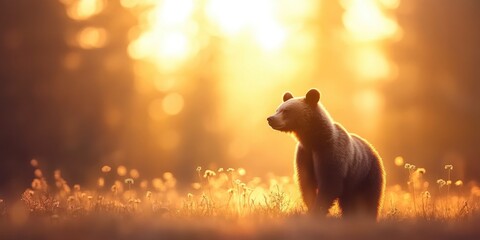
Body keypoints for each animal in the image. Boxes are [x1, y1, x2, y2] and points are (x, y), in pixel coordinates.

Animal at [266, 88, 386, 219]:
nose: (270, 119)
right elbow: (306, 183)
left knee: (370, 198)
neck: (314, 140)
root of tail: (372, 149)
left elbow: (329, 183)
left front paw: (317, 211)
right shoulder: (304, 154)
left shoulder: (330, 152)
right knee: (348, 201)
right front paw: (311, 207)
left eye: (286, 111)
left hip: (367, 173)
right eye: (277, 109)